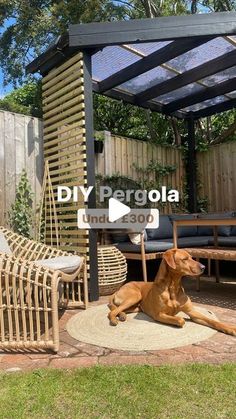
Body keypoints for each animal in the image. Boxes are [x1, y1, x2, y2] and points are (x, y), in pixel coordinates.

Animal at [108, 249, 236, 338]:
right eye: (185, 259)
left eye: (191, 257)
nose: (204, 267)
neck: (173, 287)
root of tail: (119, 289)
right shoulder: (158, 315)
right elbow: (180, 320)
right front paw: (179, 321)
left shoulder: (192, 312)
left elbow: (213, 321)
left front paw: (230, 328)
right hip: (135, 296)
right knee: (112, 311)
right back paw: (114, 319)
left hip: (136, 307)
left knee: (118, 309)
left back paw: (122, 315)